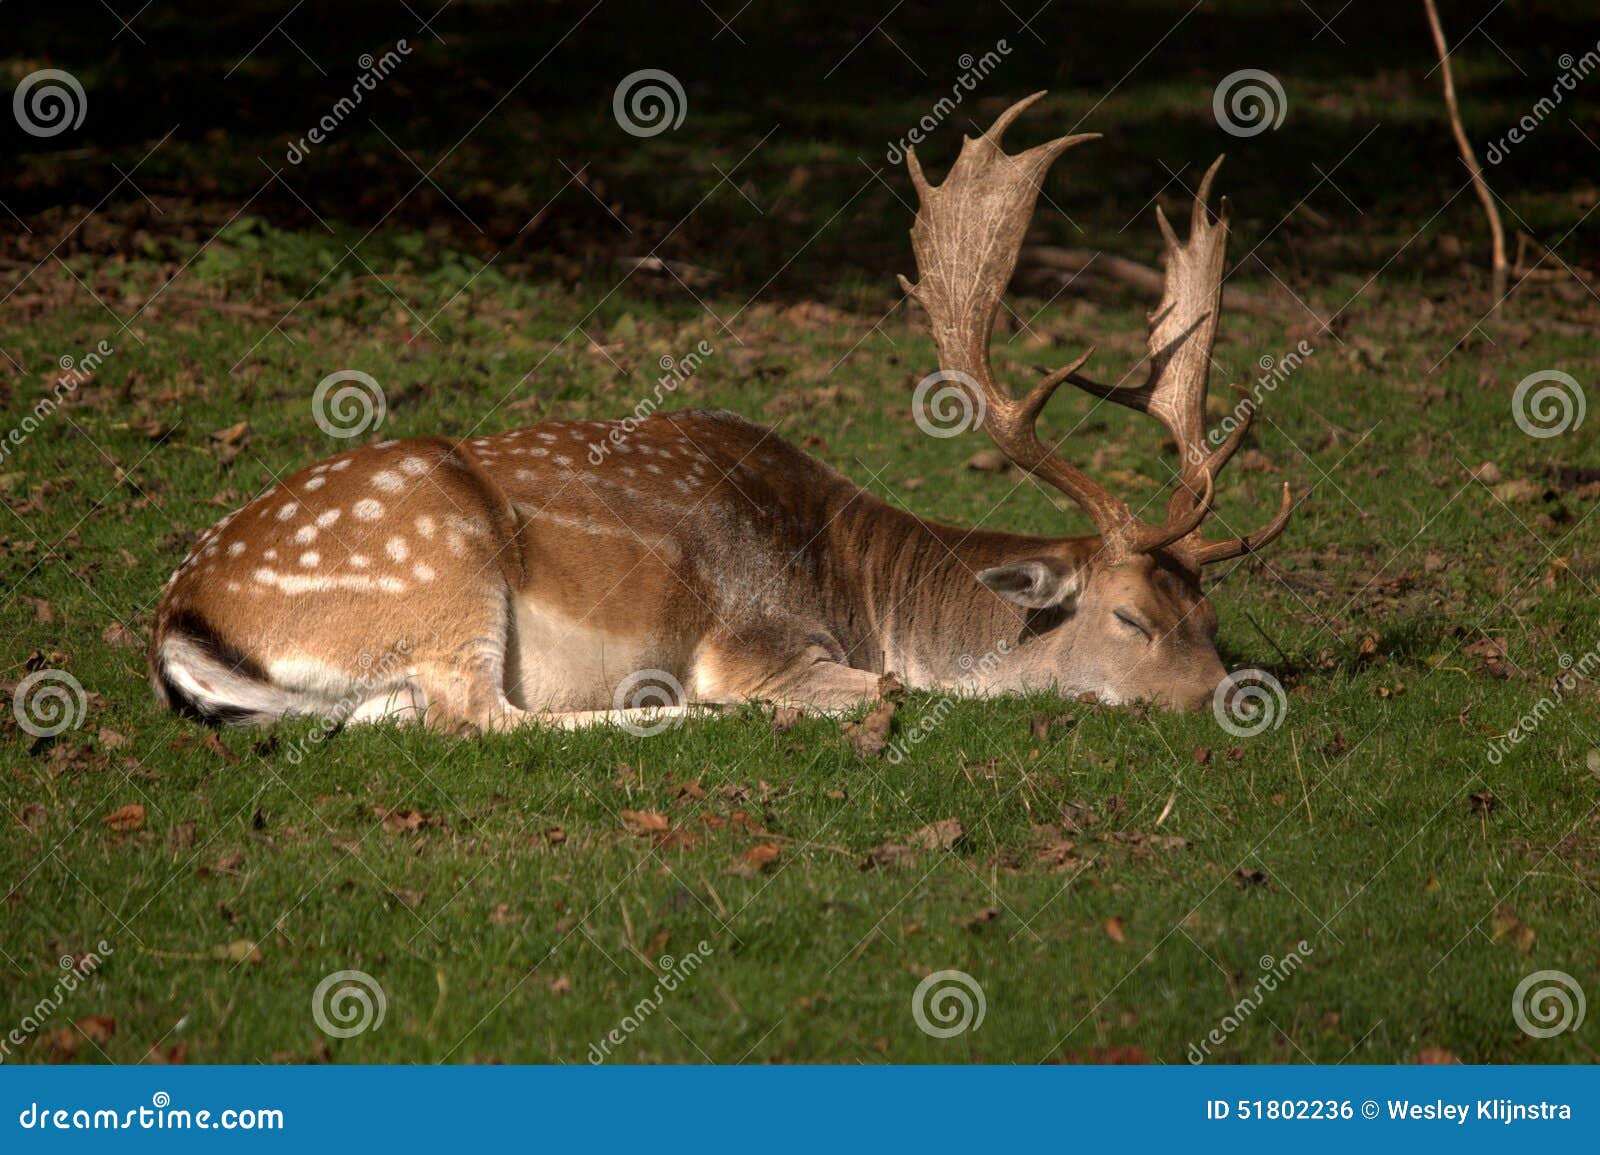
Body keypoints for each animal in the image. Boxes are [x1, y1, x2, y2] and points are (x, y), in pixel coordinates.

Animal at [148, 93, 1292, 734]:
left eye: (1210, 618)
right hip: (442, 567)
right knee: (477, 719)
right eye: (1130, 618)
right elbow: (877, 687)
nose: (1230, 697)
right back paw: (666, 715)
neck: (861, 593)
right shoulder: (754, 637)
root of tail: (179, 618)